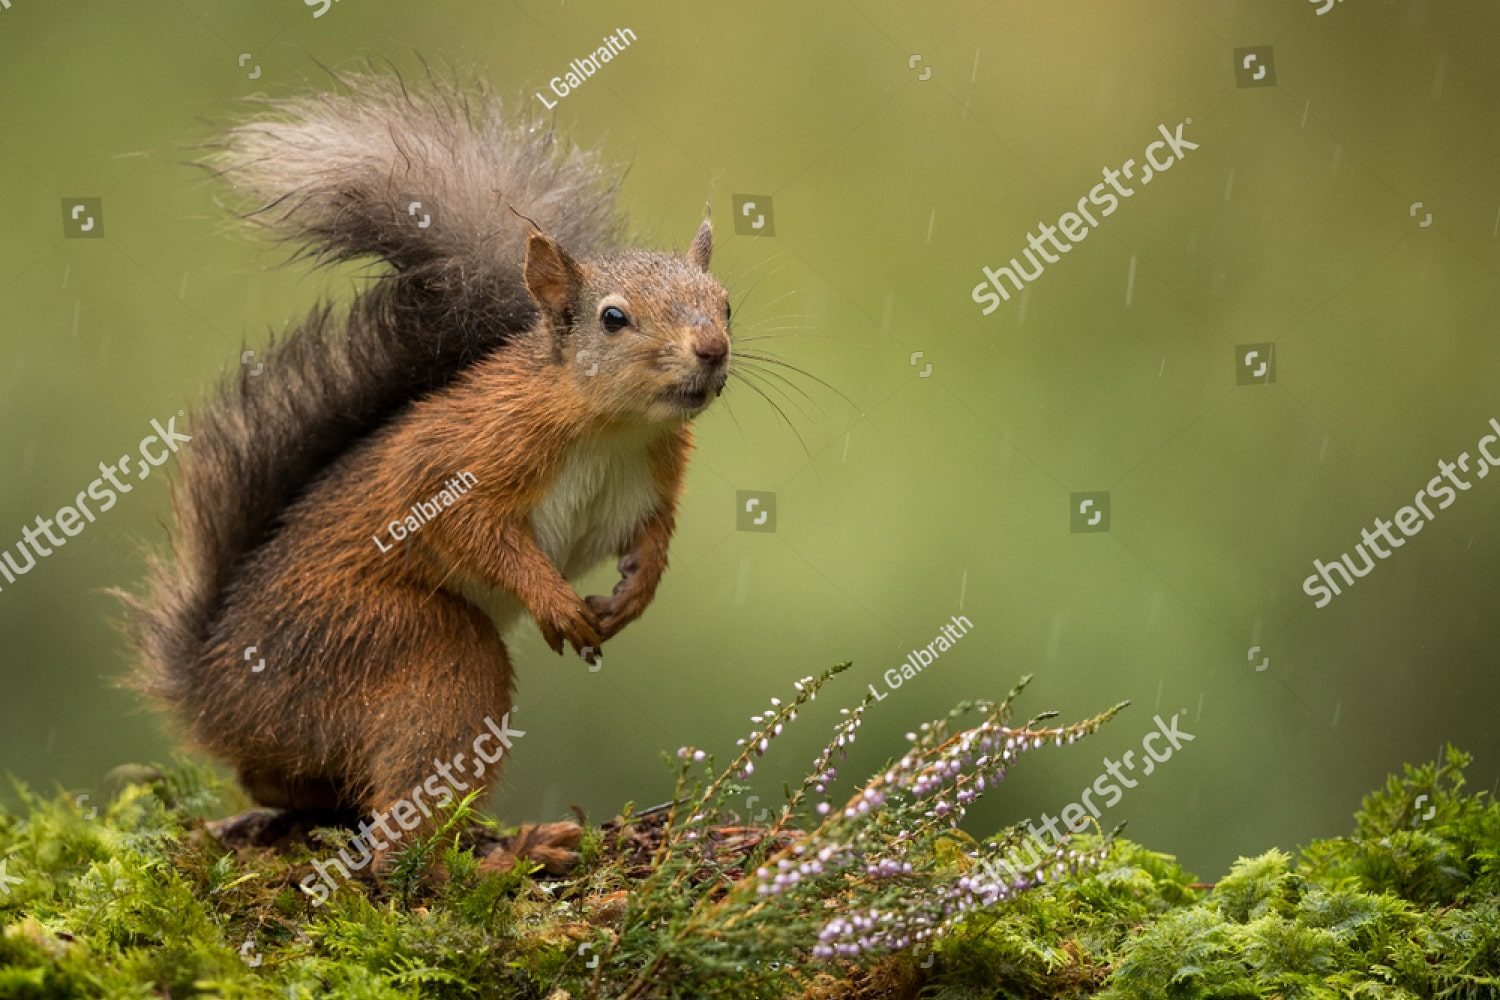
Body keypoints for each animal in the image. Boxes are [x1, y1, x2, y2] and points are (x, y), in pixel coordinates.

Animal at [120, 75, 732, 873]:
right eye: (613, 318)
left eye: (727, 304)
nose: (714, 350)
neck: (613, 428)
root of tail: (211, 691)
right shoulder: (462, 456)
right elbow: (466, 524)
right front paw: (556, 602)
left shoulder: (651, 480)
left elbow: (652, 536)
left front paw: (635, 594)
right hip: (400, 649)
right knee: (396, 846)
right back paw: (505, 855)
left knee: (275, 782)